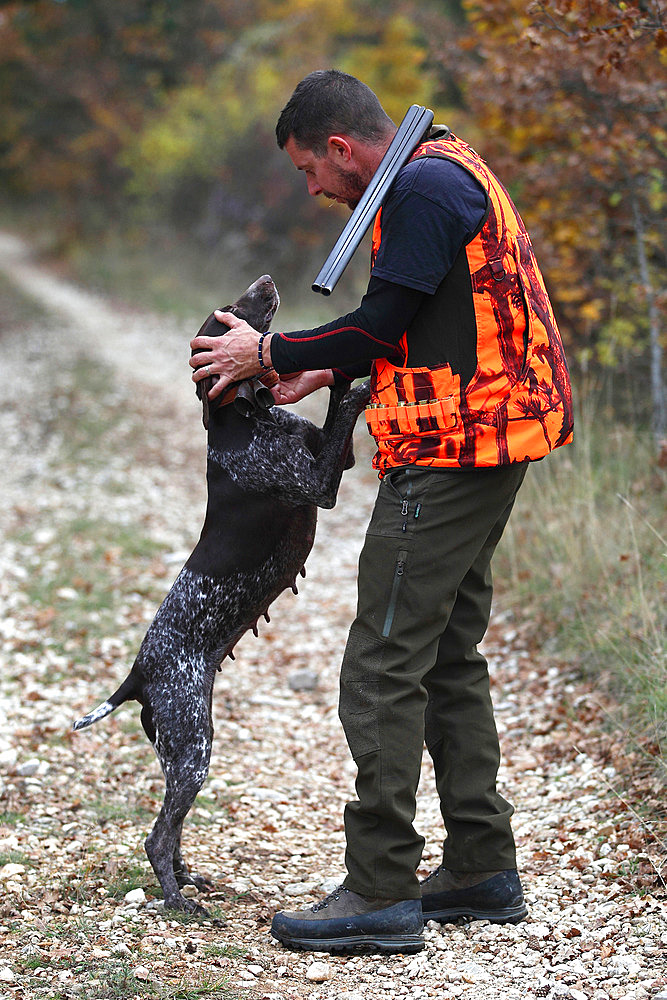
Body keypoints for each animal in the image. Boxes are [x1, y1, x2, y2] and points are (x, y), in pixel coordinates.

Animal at [75, 274, 374, 916]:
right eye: (233, 310)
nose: (266, 280)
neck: (245, 421)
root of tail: (139, 672)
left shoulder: (328, 460)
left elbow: (335, 416)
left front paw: (343, 374)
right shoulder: (320, 484)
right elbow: (343, 410)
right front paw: (358, 383)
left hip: (184, 744)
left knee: (173, 831)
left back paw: (187, 879)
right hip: (193, 746)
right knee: (158, 835)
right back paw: (176, 900)